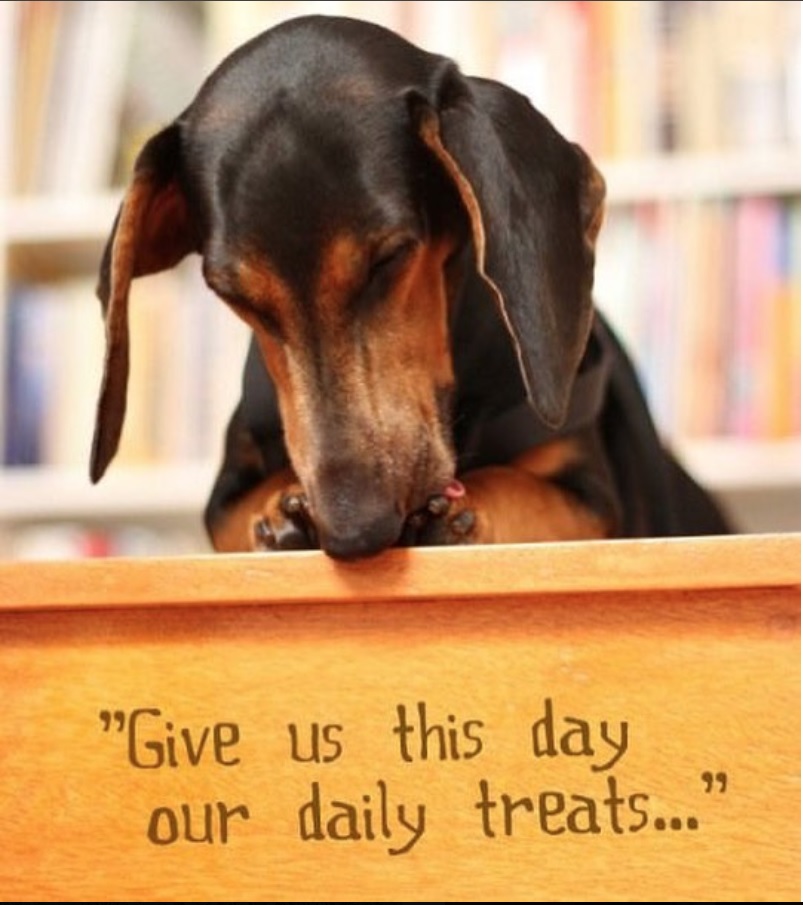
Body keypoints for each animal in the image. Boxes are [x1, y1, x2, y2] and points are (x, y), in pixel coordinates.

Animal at [91, 14, 732, 556]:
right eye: (234, 296)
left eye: (391, 258)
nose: (354, 534)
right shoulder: (225, 492)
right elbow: (234, 511)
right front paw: (280, 514)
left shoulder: (592, 496)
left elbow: (521, 487)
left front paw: (462, 515)